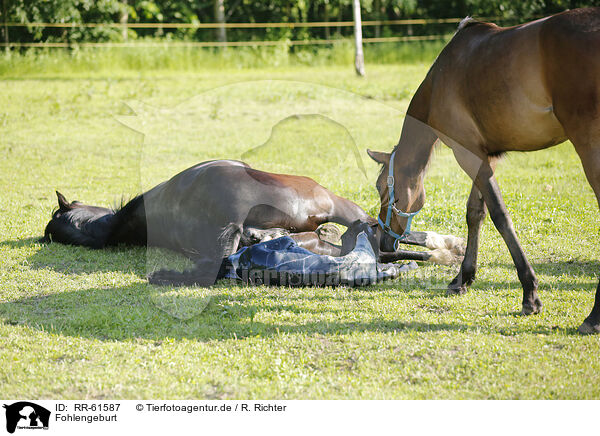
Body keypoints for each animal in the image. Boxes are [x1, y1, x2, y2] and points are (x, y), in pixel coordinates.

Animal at [368, 7, 600, 334]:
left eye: (385, 190)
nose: (385, 244)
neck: (441, 80)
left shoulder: (467, 154)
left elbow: (499, 216)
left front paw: (529, 293)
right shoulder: (483, 156)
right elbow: (475, 213)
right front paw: (463, 278)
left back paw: (593, 317)